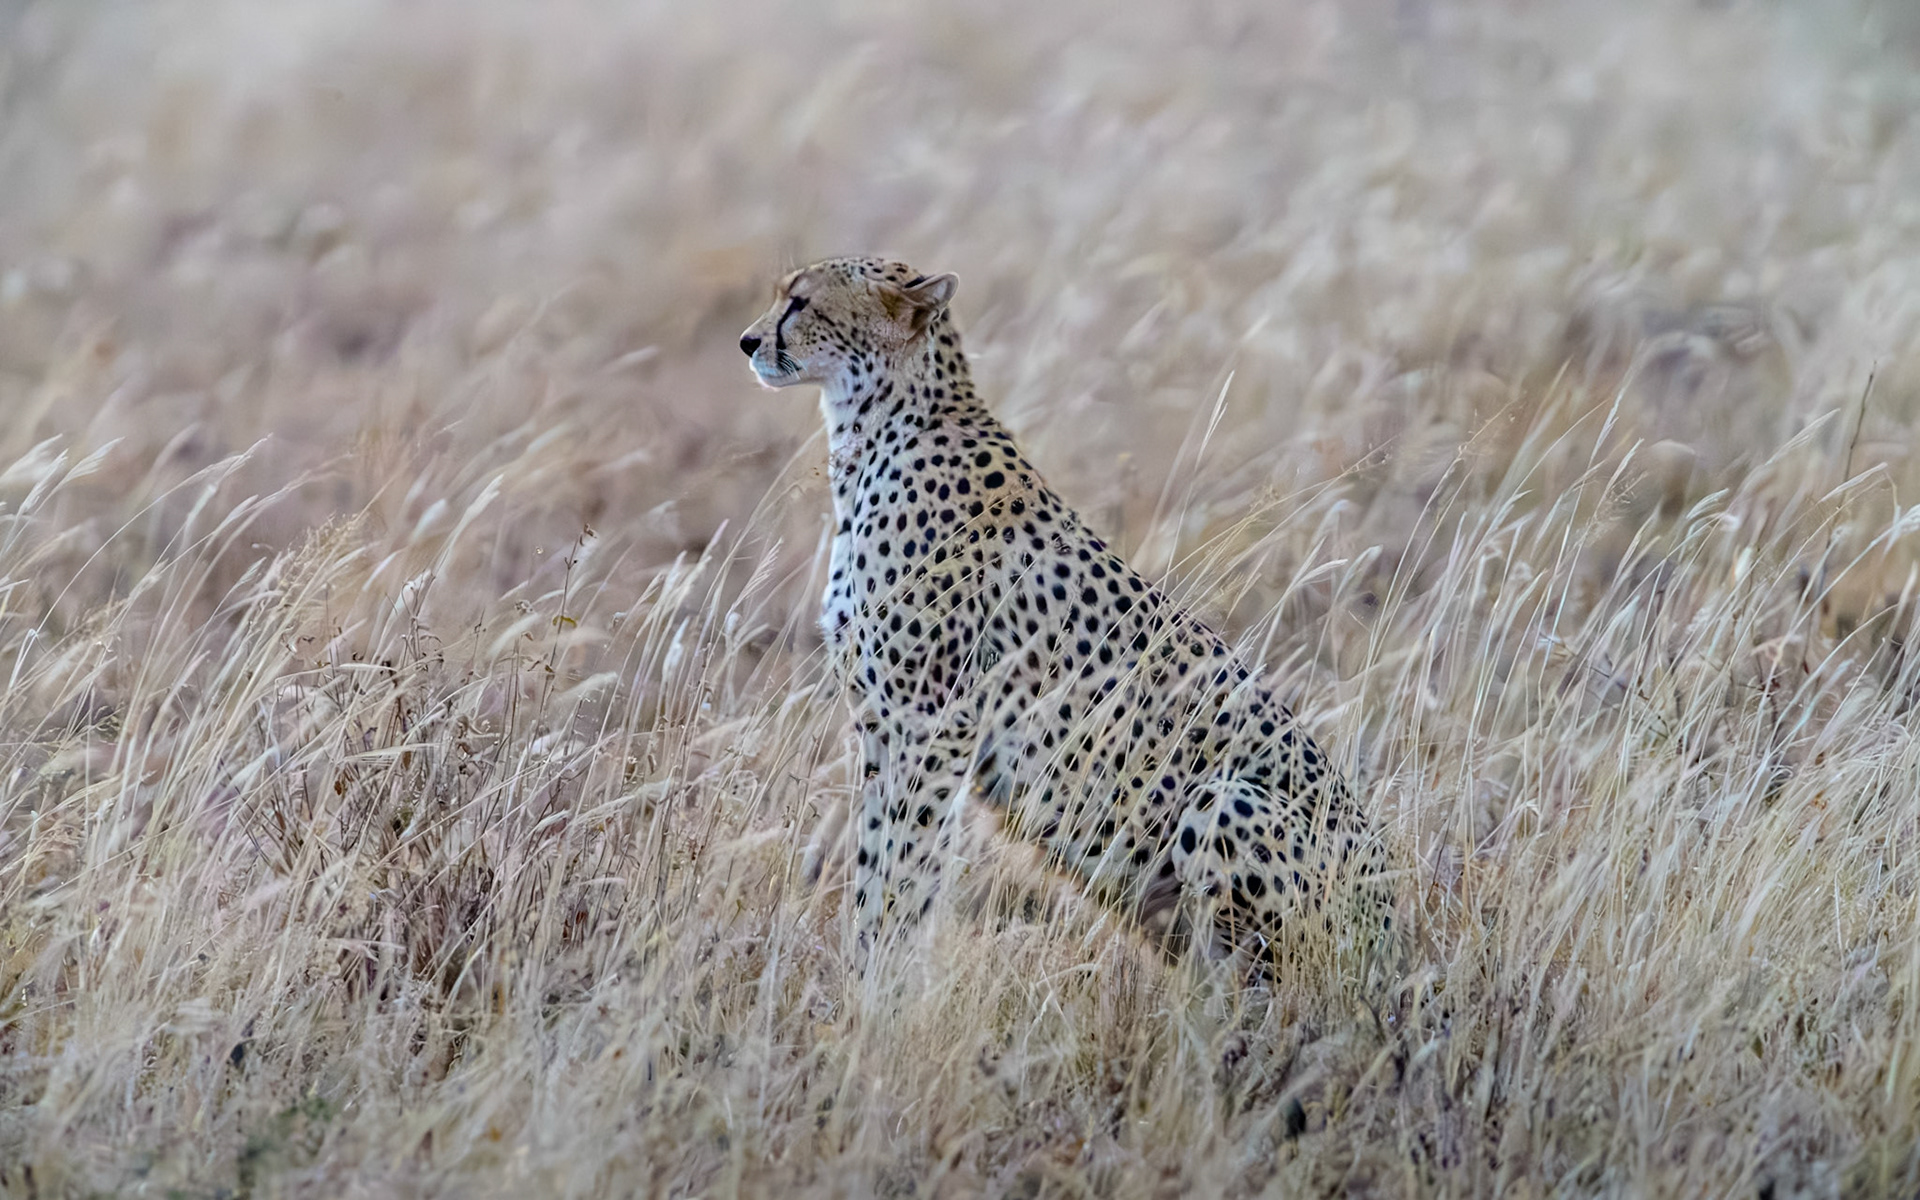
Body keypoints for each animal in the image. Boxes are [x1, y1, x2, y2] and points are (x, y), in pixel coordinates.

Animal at [740, 255, 1392, 972]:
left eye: (800, 302)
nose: (747, 342)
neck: (876, 425)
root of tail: (1400, 924)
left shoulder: (933, 724)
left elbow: (908, 867)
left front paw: (883, 980)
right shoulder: (884, 724)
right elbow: (874, 861)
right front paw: (860, 973)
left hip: (1227, 803)